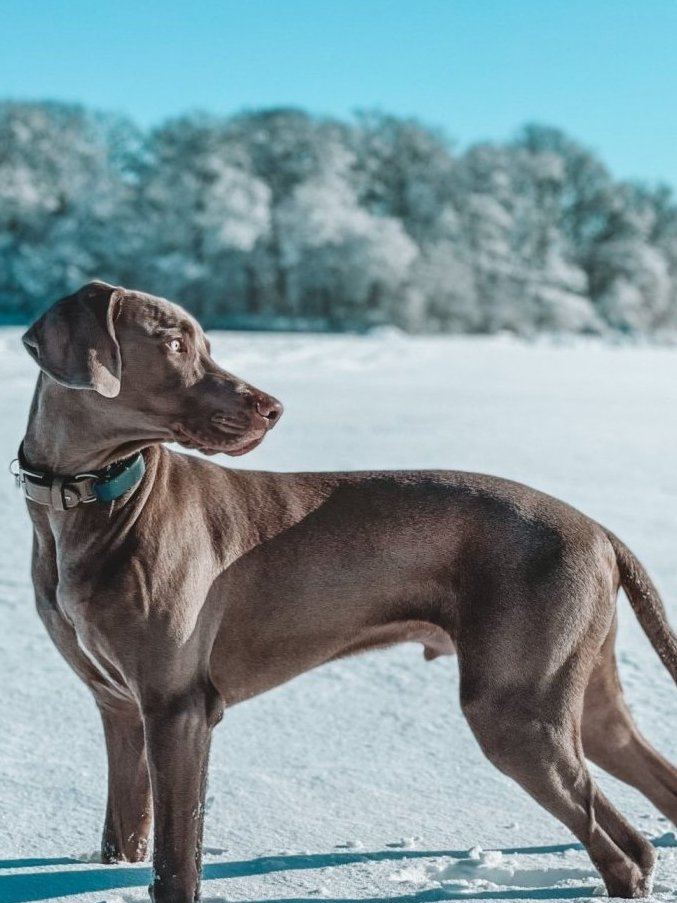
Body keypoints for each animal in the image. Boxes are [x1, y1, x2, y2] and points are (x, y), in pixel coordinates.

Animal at [15, 278, 676, 900]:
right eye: (175, 344)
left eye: (202, 344)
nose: (274, 408)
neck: (90, 499)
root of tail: (599, 530)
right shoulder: (121, 707)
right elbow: (124, 836)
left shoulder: (179, 707)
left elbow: (176, 861)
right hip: (580, 699)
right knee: (644, 802)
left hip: (514, 709)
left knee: (619, 845)